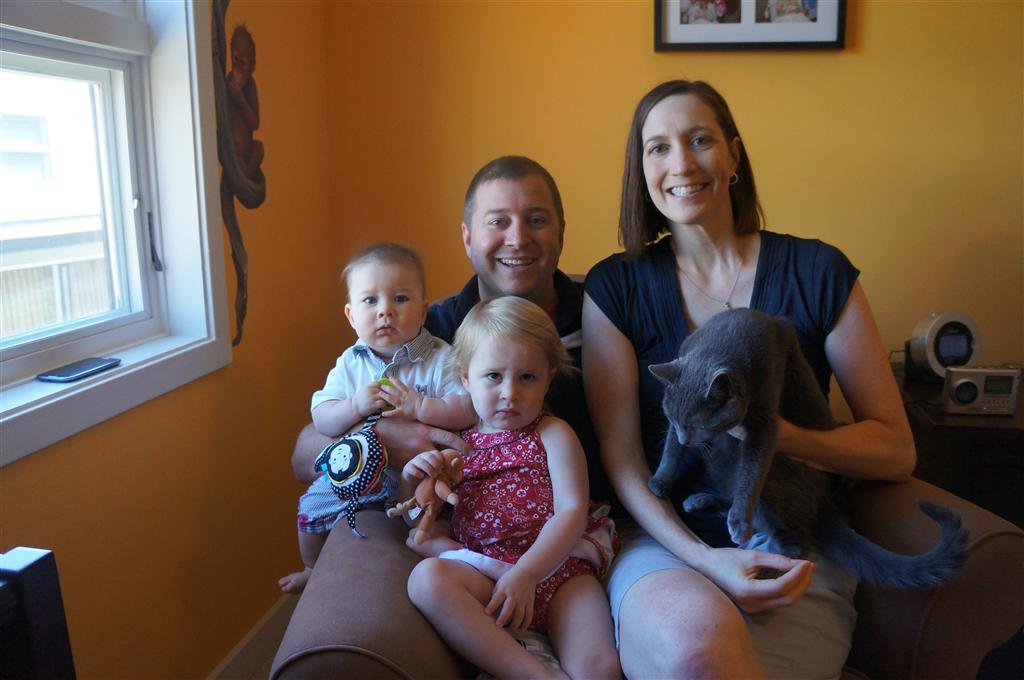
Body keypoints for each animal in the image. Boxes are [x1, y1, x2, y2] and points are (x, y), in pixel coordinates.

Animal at [647, 307, 967, 590]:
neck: (723, 338)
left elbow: (752, 471)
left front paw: (739, 521)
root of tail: (826, 499)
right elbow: (670, 451)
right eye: (672, 418)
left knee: (794, 541)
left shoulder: (764, 414)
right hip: (724, 467)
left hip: (774, 474)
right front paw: (660, 481)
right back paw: (700, 501)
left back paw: (765, 573)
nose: (687, 439)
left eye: (701, 426)